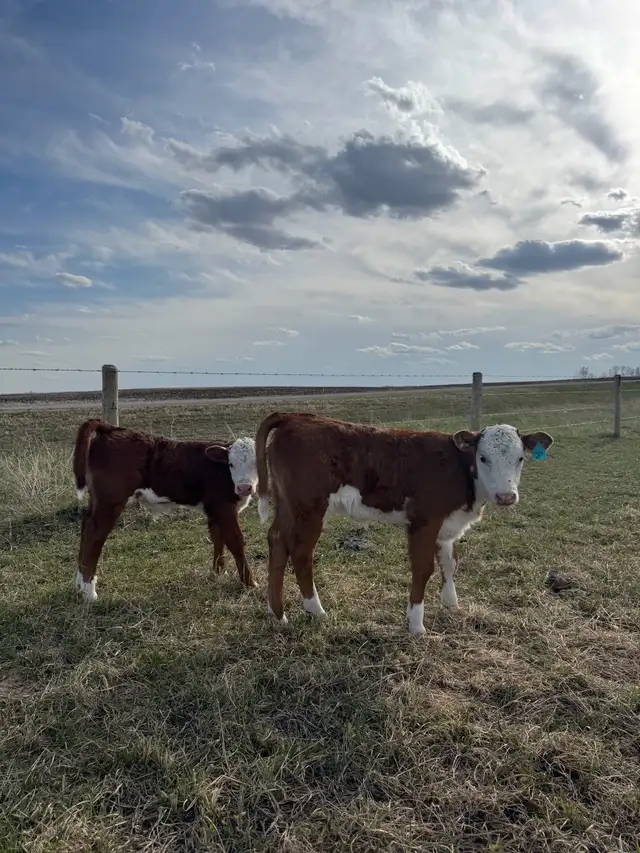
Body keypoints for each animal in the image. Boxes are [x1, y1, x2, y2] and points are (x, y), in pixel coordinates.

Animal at [72, 418, 259, 603]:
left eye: (256, 464)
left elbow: (217, 539)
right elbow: (236, 542)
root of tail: (112, 429)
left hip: (97, 501)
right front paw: (250, 583)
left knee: (86, 525)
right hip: (110, 502)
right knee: (94, 533)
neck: (221, 471)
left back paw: (80, 585)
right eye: (231, 464)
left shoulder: (213, 509)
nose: (244, 487)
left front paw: (219, 573)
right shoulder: (224, 508)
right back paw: (89, 592)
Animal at [254, 411, 553, 635]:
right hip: (310, 509)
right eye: (483, 457)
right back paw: (315, 610)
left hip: (288, 505)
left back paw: (276, 614)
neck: (458, 469)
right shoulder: (424, 521)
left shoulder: (446, 525)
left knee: (277, 542)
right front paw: (416, 624)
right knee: (301, 553)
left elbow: (449, 563)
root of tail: (295, 417)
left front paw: (450, 603)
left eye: (520, 458)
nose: (506, 496)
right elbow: (423, 569)